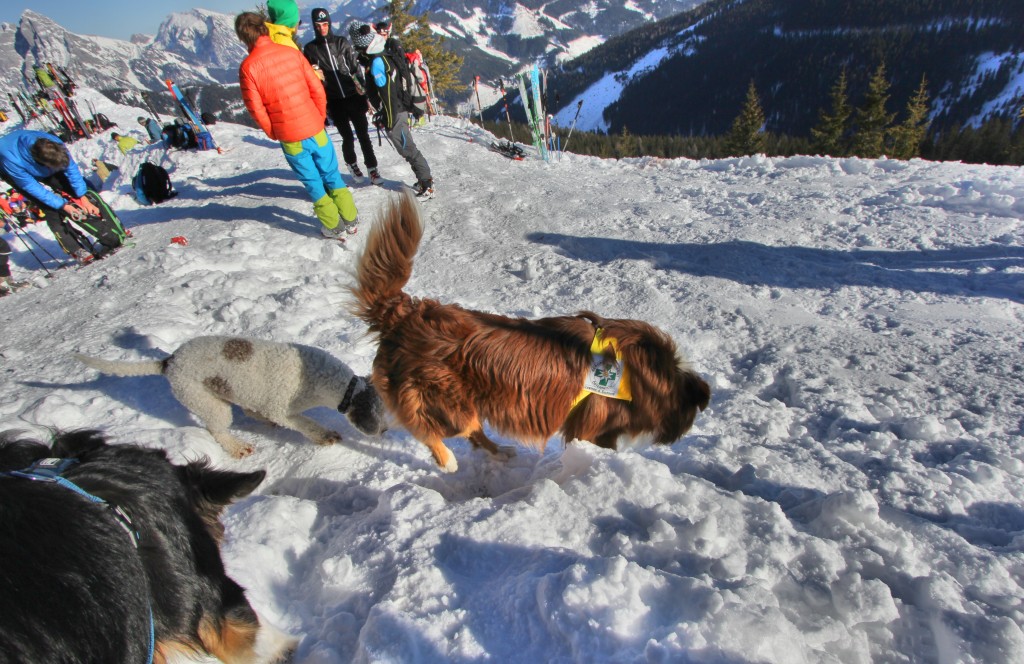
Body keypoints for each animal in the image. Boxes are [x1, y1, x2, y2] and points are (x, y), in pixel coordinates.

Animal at [75, 338, 385, 457]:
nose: (384, 432)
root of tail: (169, 362)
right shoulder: (282, 409)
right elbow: (307, 425)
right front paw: (326, 436)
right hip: (205, 401)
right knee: (218, 430)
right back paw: (237, 448)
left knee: (247, 410)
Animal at [348, 191, 708, 471]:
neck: (646, 376)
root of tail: (403, 313)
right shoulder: (593, 424)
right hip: (446, 400)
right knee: (428, 428)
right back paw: (447, 460)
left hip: (463, 403)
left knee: (474, 432)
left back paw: (501, 453)